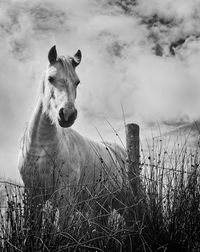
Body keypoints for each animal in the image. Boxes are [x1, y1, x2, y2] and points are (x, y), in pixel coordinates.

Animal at [17, 45, 126, 207]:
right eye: (50, 78)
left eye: (77, 82)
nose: (67, 114)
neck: (41, 149)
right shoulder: (32, 195)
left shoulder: (65, 197)